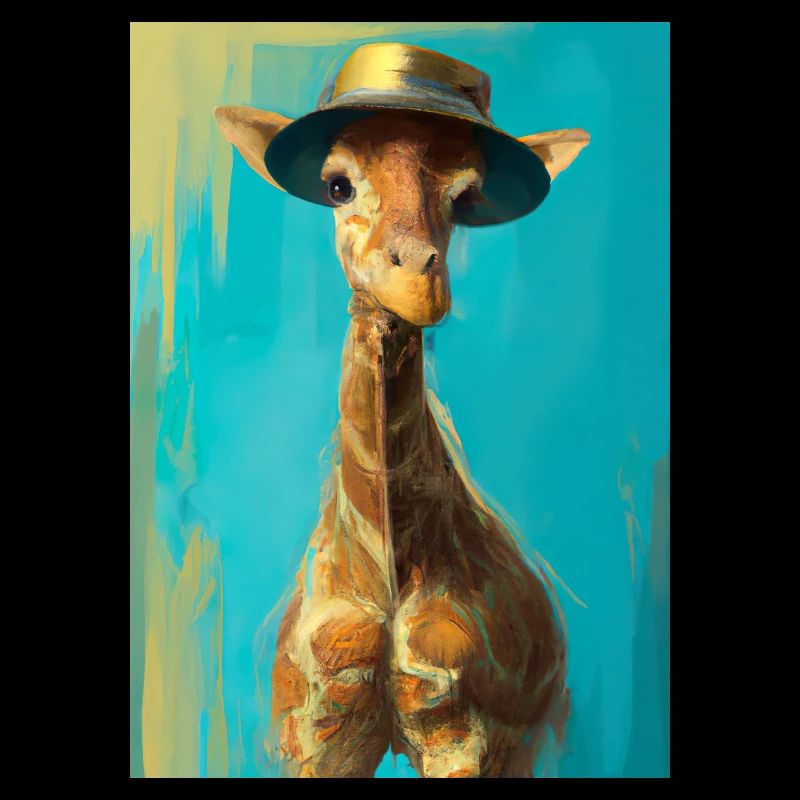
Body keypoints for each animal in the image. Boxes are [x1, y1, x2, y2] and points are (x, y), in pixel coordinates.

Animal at [216, 98, 588, 779]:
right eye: (337, 185)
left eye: (466, 197)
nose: (416, 281)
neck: (386, 582)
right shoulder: (317, 736)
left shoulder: (463, 735)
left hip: (538, 737)